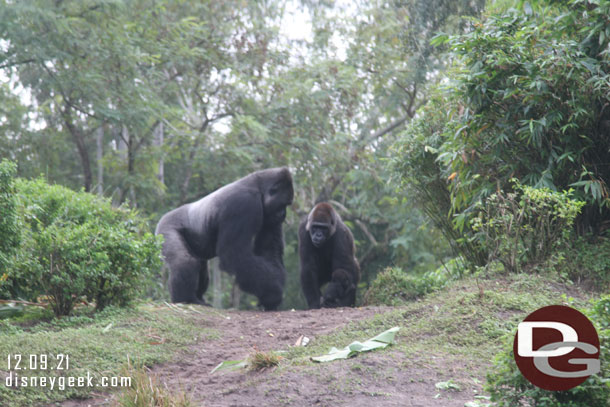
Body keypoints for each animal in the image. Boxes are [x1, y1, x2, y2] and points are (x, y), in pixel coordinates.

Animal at [154, 167, 292, 310]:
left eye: (287, 205)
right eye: (283, 204)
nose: (283, 215)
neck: (258, 188)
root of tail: (164, 217)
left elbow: (269, 251)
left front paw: (271, 295)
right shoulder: (244, 203)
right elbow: (235, 256)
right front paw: (272, 294)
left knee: (199, 264)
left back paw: (197, 298)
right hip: (166, 228)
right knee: (185, 261)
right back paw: (186, 300)